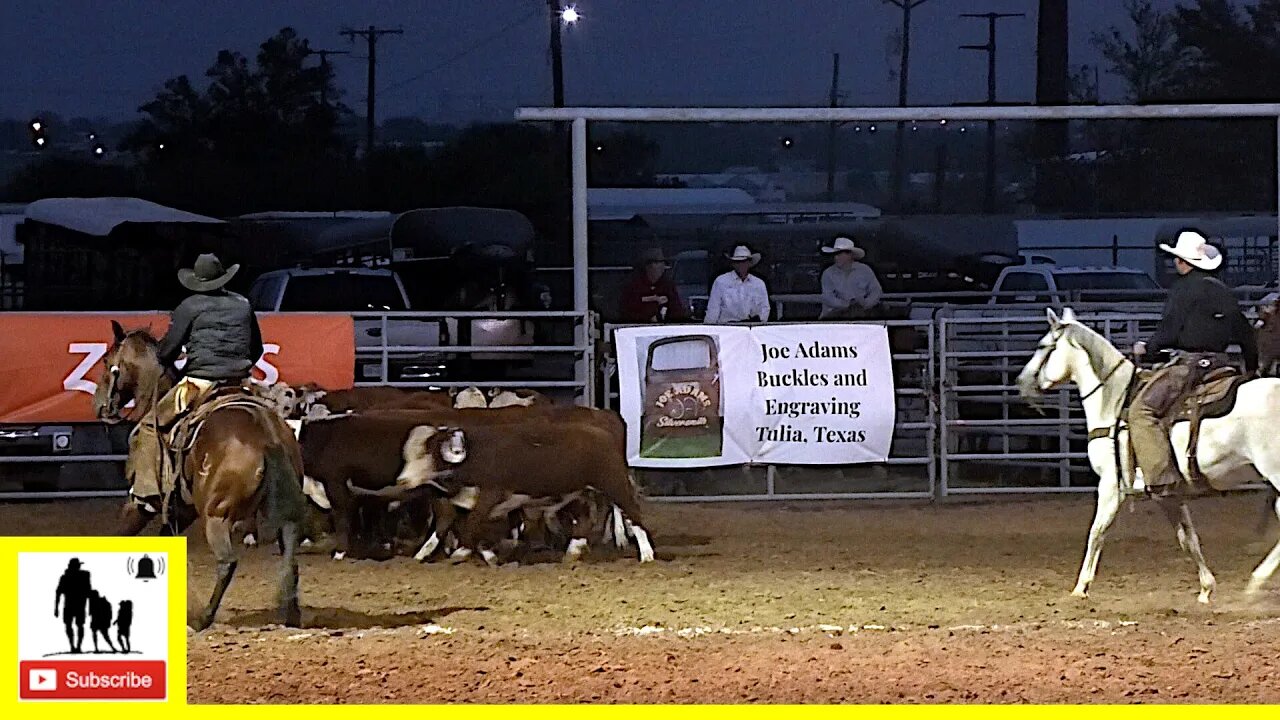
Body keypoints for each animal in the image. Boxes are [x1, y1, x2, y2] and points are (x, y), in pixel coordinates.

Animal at [93, 319, 305, 627]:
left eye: (107, 361)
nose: (99, 405)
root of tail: (269, 439)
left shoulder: (141, 501)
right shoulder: (182, 509)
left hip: (217, 514)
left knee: (227, 561)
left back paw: (202, 617)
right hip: (286, 513)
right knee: (290, 554)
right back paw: (290, 613)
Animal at [1018, 304, 1280, 602]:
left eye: (1043, 346)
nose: (1020, 381)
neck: (1113, 400)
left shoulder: (1111, 484)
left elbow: (1097, 532)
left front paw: (1080, 588)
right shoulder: (1168, 491)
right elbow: (1188, 538)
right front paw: (1206, 589)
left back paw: (1255, 583)